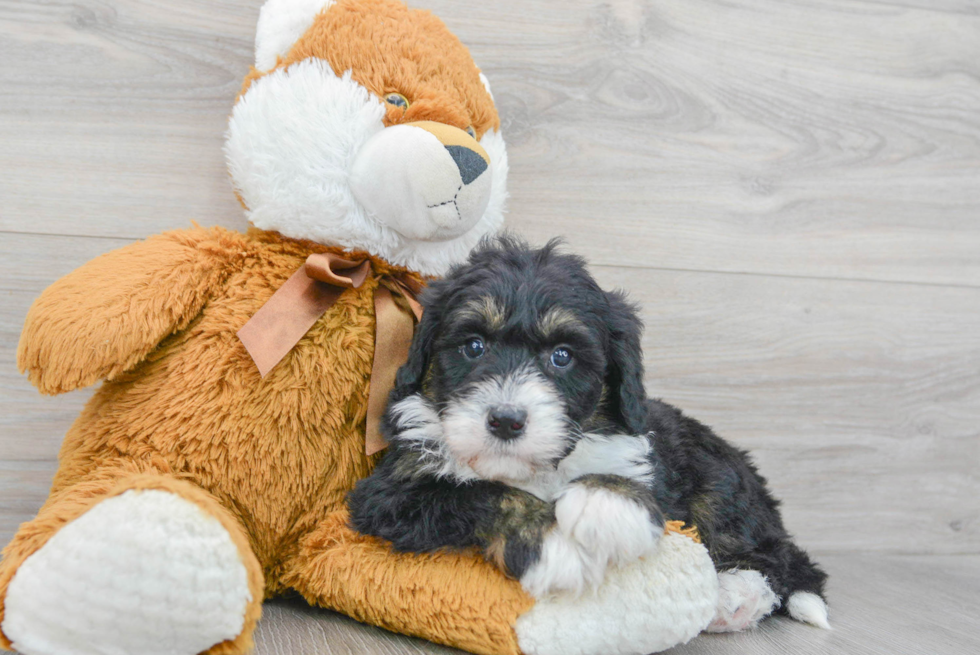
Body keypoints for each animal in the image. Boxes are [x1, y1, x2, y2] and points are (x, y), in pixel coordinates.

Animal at [348, 236, 832, 632]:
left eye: (562, 356)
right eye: (473, 346)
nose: (505, 420)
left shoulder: (643, 454)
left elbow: (627, 480)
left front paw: (608, 502)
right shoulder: (387, 494)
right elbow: (478, 493)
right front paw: (554, 545)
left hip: (718, 482)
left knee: (778, 557)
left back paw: (735, 597)